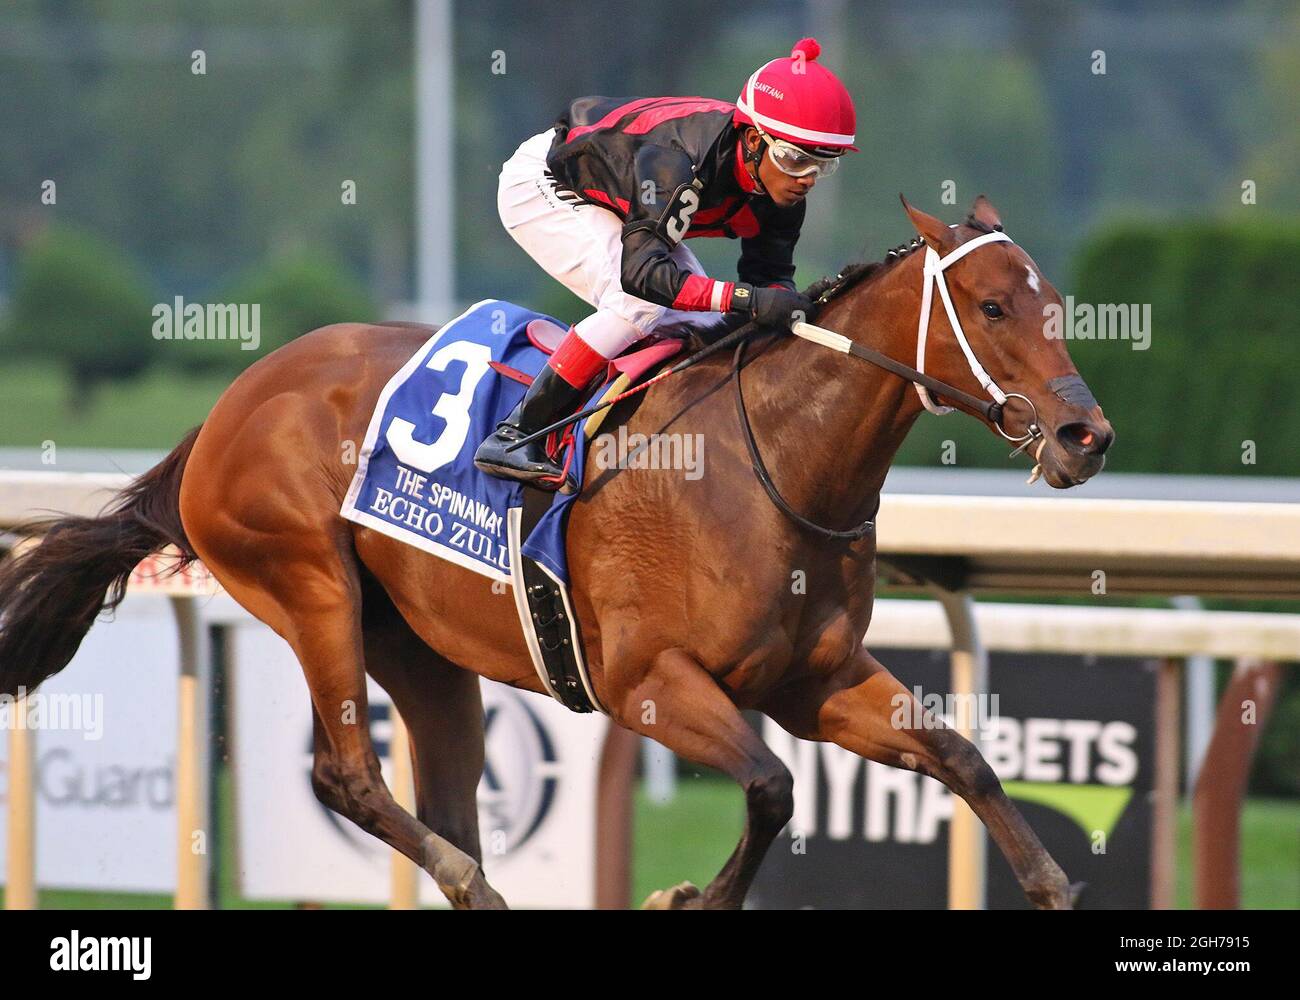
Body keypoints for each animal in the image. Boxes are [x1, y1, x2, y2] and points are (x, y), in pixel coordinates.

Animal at [0, 196, 1112, 909]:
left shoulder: (814, 678)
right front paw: (686, 899)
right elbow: (771, 787)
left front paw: (1050, 881)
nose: (1085, 436)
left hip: (422, 649)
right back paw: (470, 882)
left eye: (1055, 299)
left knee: (437, 794)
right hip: (310, 586)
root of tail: (230, 405)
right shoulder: (648, 682)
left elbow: (961, 754)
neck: (780, 460)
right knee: (348, 775)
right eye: (992, 306)